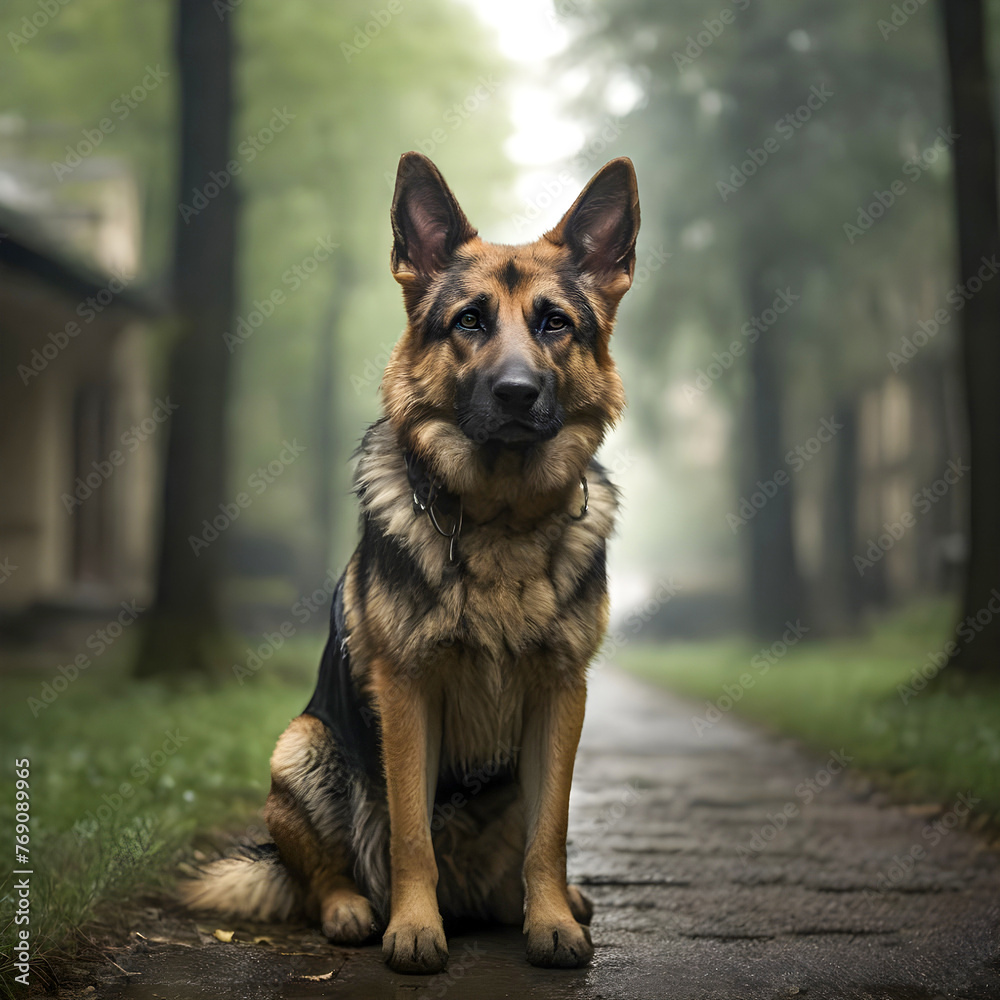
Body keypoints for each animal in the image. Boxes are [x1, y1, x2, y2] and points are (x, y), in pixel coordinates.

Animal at [182, 152, 640, 972]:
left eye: (556, 323)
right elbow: (410, 833)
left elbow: (550, 834)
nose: (517, 393)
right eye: (469, 322)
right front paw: (414, 927)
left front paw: (553, 921)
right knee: (323, 874)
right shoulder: (406, 692)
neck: (499, 520)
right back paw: (355, 911)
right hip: (302, 748)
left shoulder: (563, 694)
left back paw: (541, 903)